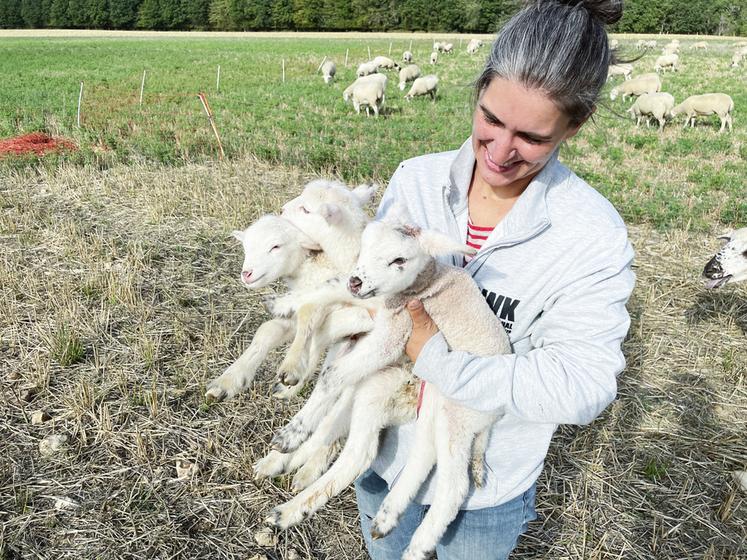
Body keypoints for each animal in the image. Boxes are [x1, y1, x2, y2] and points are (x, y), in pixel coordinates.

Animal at [266, 215, 512, 560]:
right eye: (364, 246)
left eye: (399, 261)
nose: (357, 281)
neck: (421, 283)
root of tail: (494, 417)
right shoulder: (371, 305)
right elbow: (326, 290)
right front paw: (283, 305)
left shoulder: (395, 333)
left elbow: (333, 374)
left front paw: (291, 433)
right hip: (423, 401)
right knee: (407, 453)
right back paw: (379, 516)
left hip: (452, 409)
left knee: (446, 484)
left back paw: (414, 547)